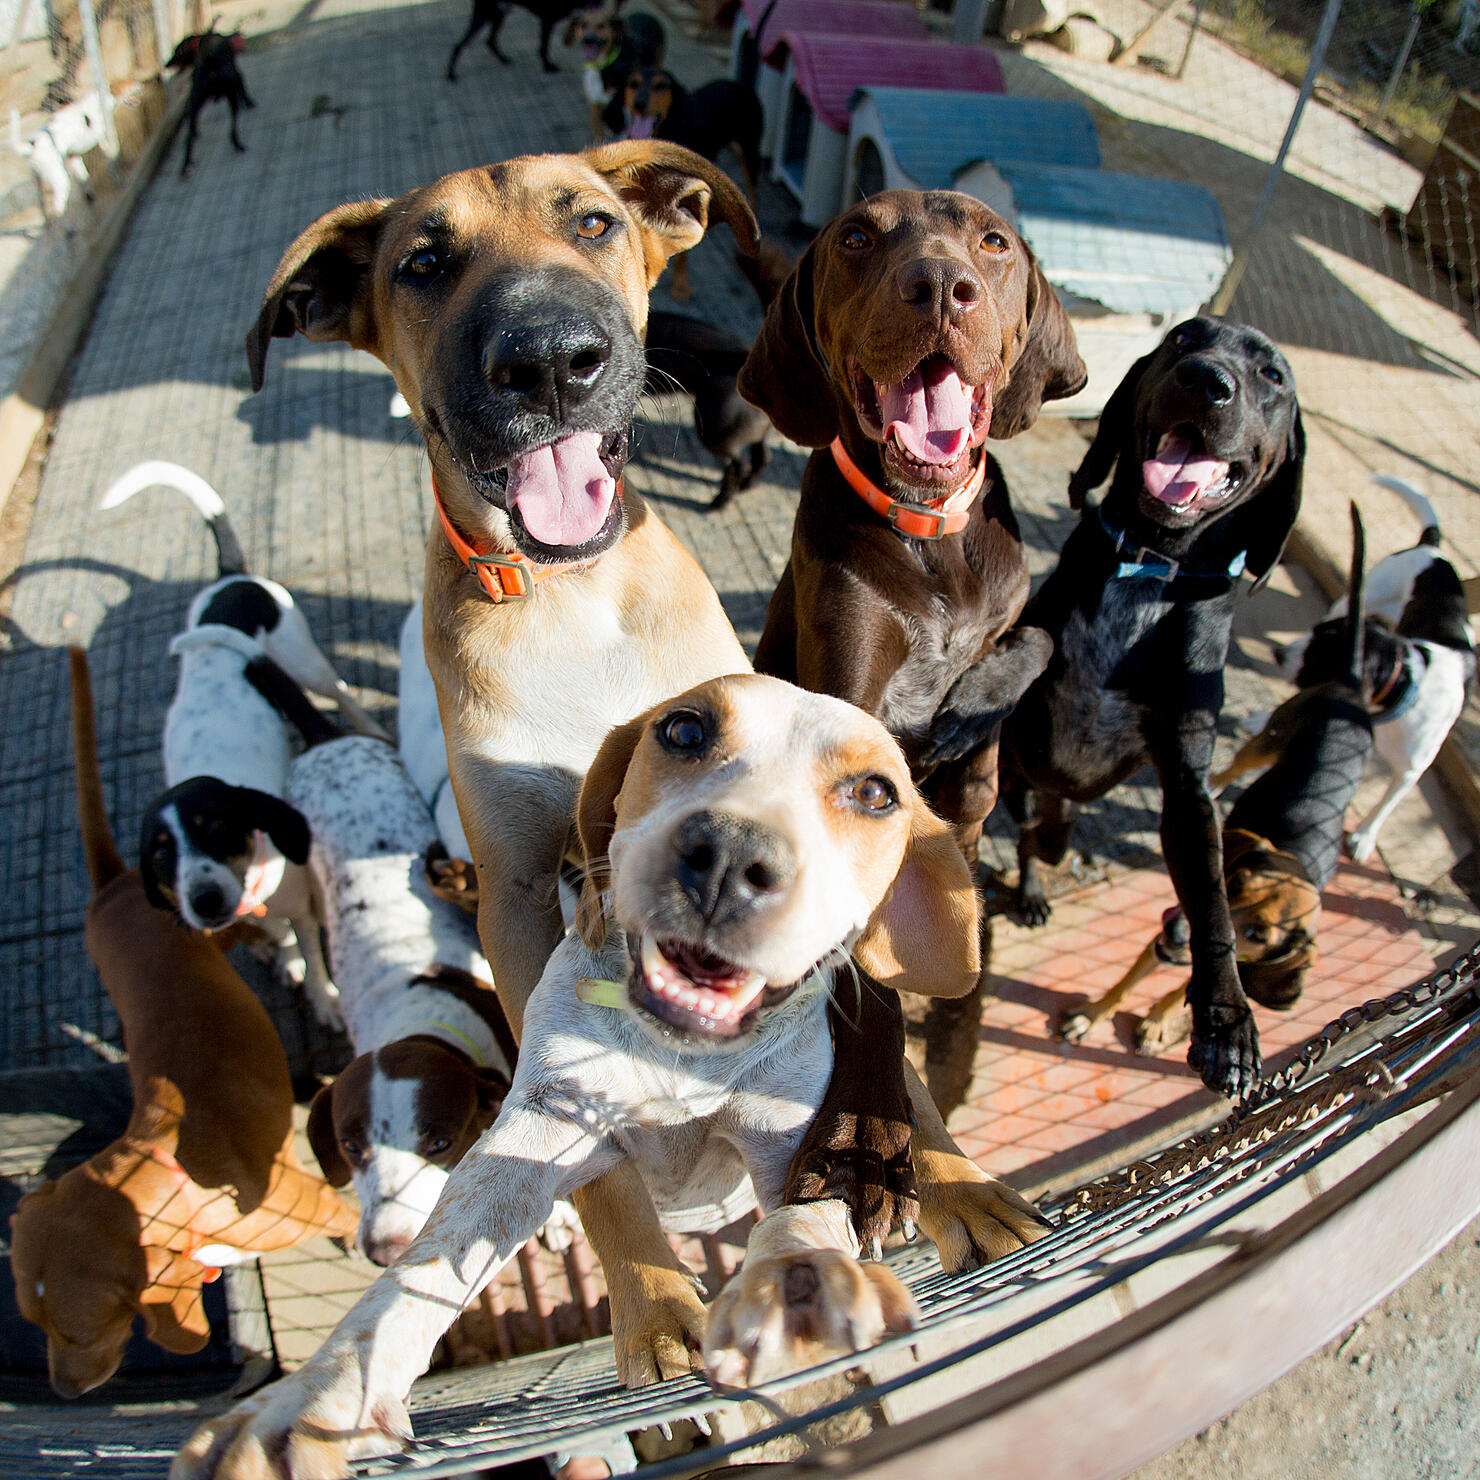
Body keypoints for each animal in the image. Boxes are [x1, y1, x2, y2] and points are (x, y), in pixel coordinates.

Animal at [101, 461, 390, 1018]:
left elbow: (307, 939)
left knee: (340, 690)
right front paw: (286, 961)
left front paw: (322, 996)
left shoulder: (299, 899)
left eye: (215, 824)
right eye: (160, 856)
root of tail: (228, 578)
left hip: (305, 660)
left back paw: (370, 725)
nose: (205, 902)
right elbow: (280, 936)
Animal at [1278, 473, 1474, 864]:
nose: (1277, 654)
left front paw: (1365, 836)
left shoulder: (1411, 771)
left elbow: (1386, 804)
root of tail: (1432, 548)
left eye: (1320, 654)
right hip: (1354, 598)